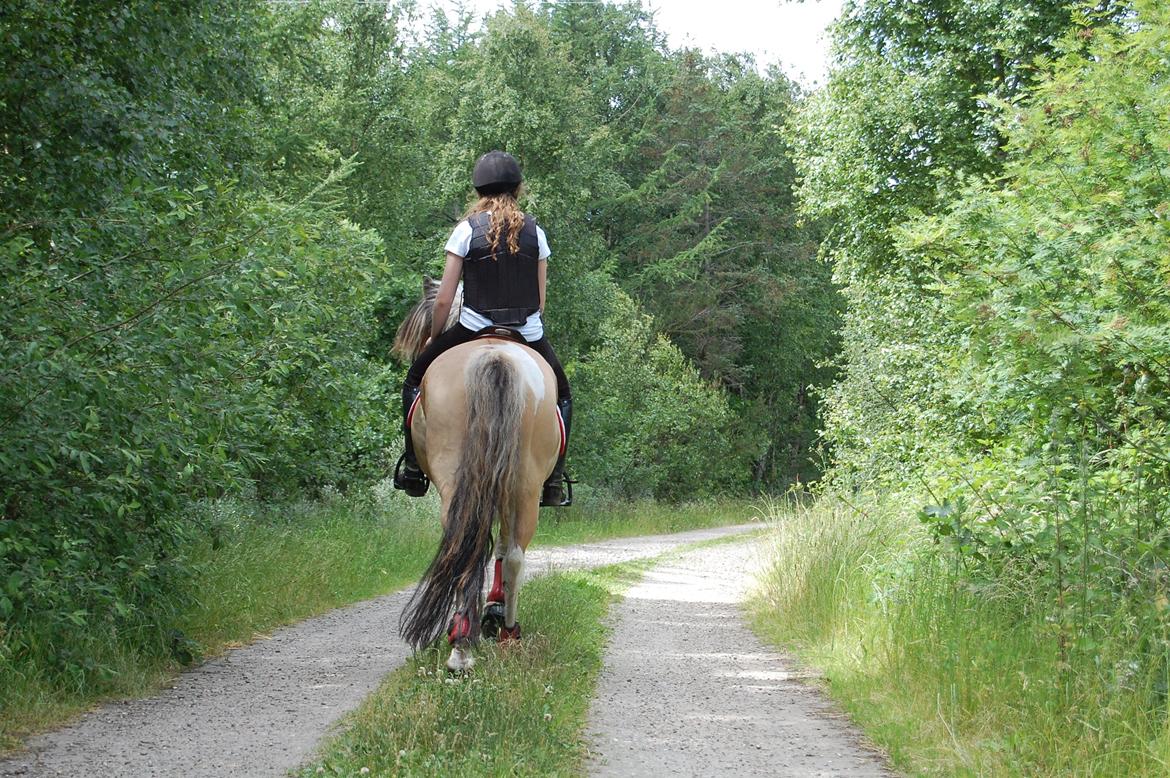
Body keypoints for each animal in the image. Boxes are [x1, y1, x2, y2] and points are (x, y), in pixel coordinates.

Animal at [393, 280, 561, 673]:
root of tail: (495, 357)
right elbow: (499, 546)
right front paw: (492, 610)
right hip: (523, 485)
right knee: (509, 553)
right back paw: (492, 635)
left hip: (472, 481)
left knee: (478, 547)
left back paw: (471, 642)